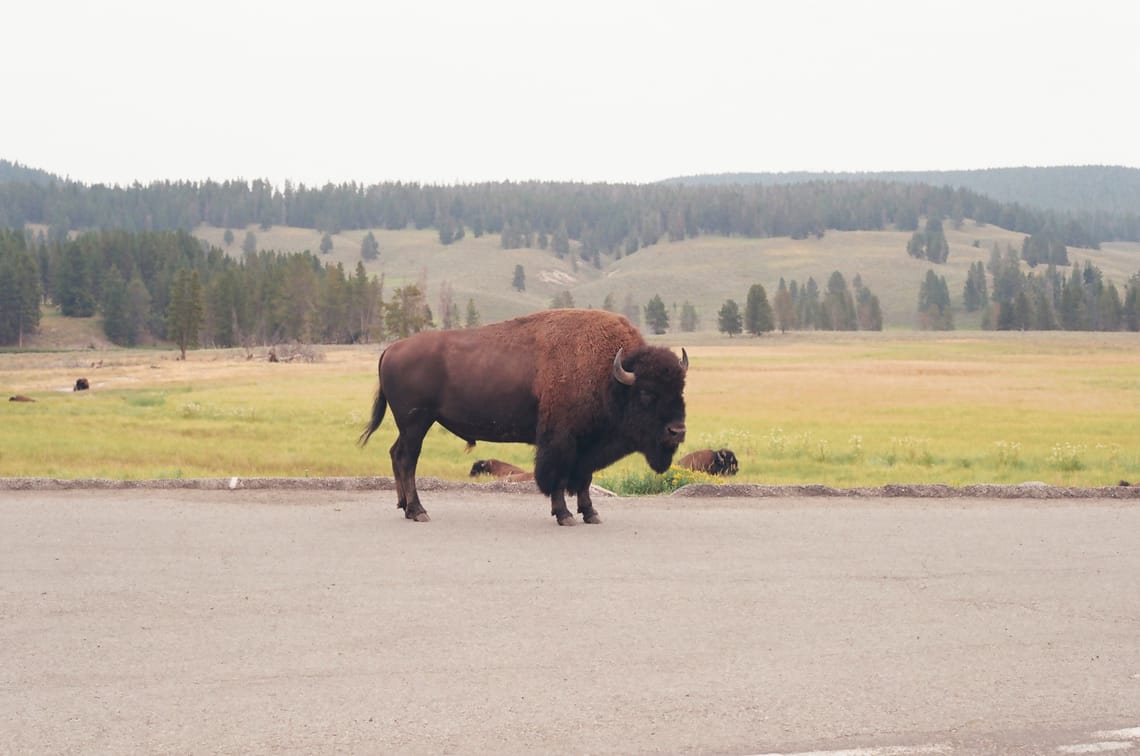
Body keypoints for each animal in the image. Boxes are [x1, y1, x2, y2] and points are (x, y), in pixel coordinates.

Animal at [360, 307, 688, 526]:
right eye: (646, 393)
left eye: (680, 389)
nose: (678, 431)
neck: (610, 376)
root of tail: (392, 348)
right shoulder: (561, 441)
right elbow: (557, 477)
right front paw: (564, 515)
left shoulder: (587, 445)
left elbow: (584, 478)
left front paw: (591, 514)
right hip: (417, 423)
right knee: (407, 459)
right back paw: (418, 511)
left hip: (410, 426)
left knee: (396, 454)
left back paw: (404, 506)